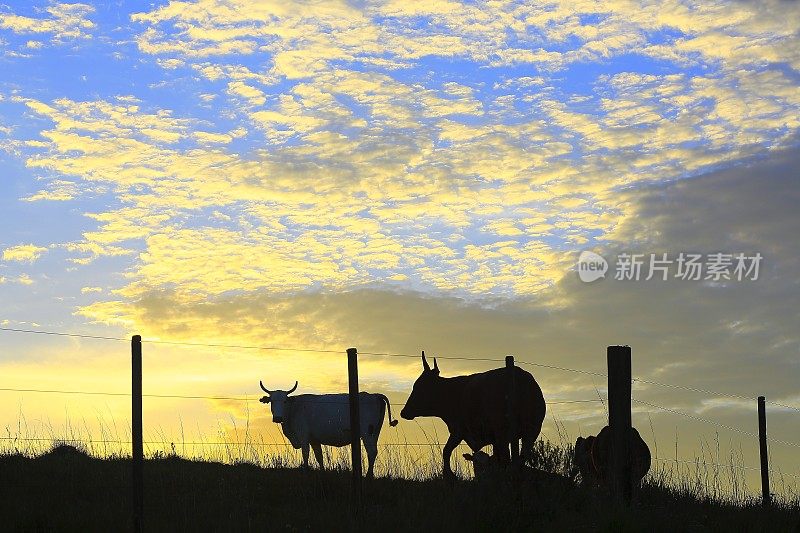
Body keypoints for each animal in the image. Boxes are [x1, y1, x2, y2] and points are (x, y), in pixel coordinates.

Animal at [260, 380, 398, 476]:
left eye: (284, 401)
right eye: (272, 401)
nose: (278, 418)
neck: (294, 408)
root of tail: (374, 395)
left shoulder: (303, 436)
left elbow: (305, 454)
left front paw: (305, 471)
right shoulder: (314, 440)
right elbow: (319, 457)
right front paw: (322, 471)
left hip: (367, 432)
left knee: (372, 451)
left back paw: (369, 475)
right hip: (375, 432)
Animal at [398, 354, 544, 478]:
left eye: (419, 387)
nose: (403, 412)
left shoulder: (458, 430)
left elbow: (446, 451)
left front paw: (449, 475)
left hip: (503, 432)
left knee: (508, 458)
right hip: (531, 431)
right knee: (522, 456)